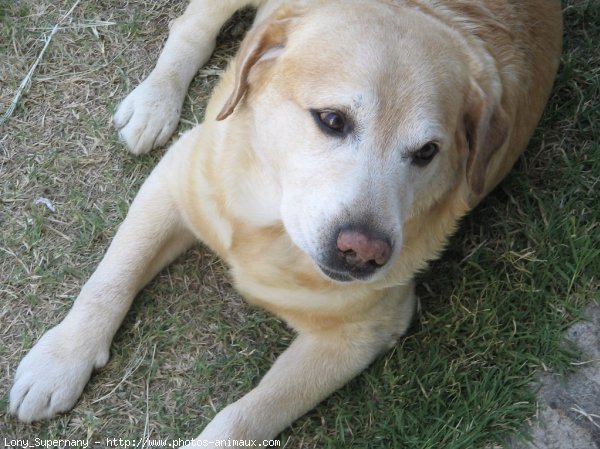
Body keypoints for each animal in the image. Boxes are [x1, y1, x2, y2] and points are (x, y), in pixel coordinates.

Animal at [10, 0, 564, 442]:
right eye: (332, 120)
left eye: (427, 152)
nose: (363, 253)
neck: (269, 221)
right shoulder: (174, 179)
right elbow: (109, 279)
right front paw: (61, 359)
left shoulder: (358, 334)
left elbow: (246, 417)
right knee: (191, 26)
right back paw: (154, 102)